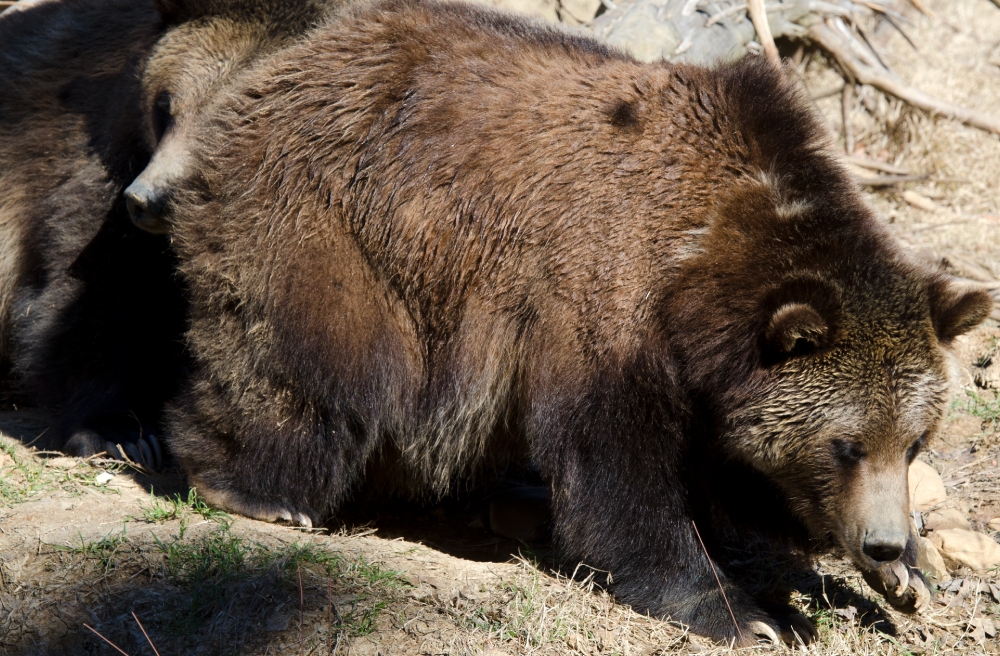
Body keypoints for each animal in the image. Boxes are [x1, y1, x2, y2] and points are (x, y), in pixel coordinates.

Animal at [158, 0, 992, 644]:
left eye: (914, 441)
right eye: (846, 443)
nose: (881, 539)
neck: (702, 260)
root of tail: (283, 62)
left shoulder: (714, 376)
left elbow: (739, 467)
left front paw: (908, 575)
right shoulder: (604, 300)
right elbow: (620, 475)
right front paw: (746, 611)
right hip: (331, 222)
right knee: (317, 364)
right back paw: (253, 488)